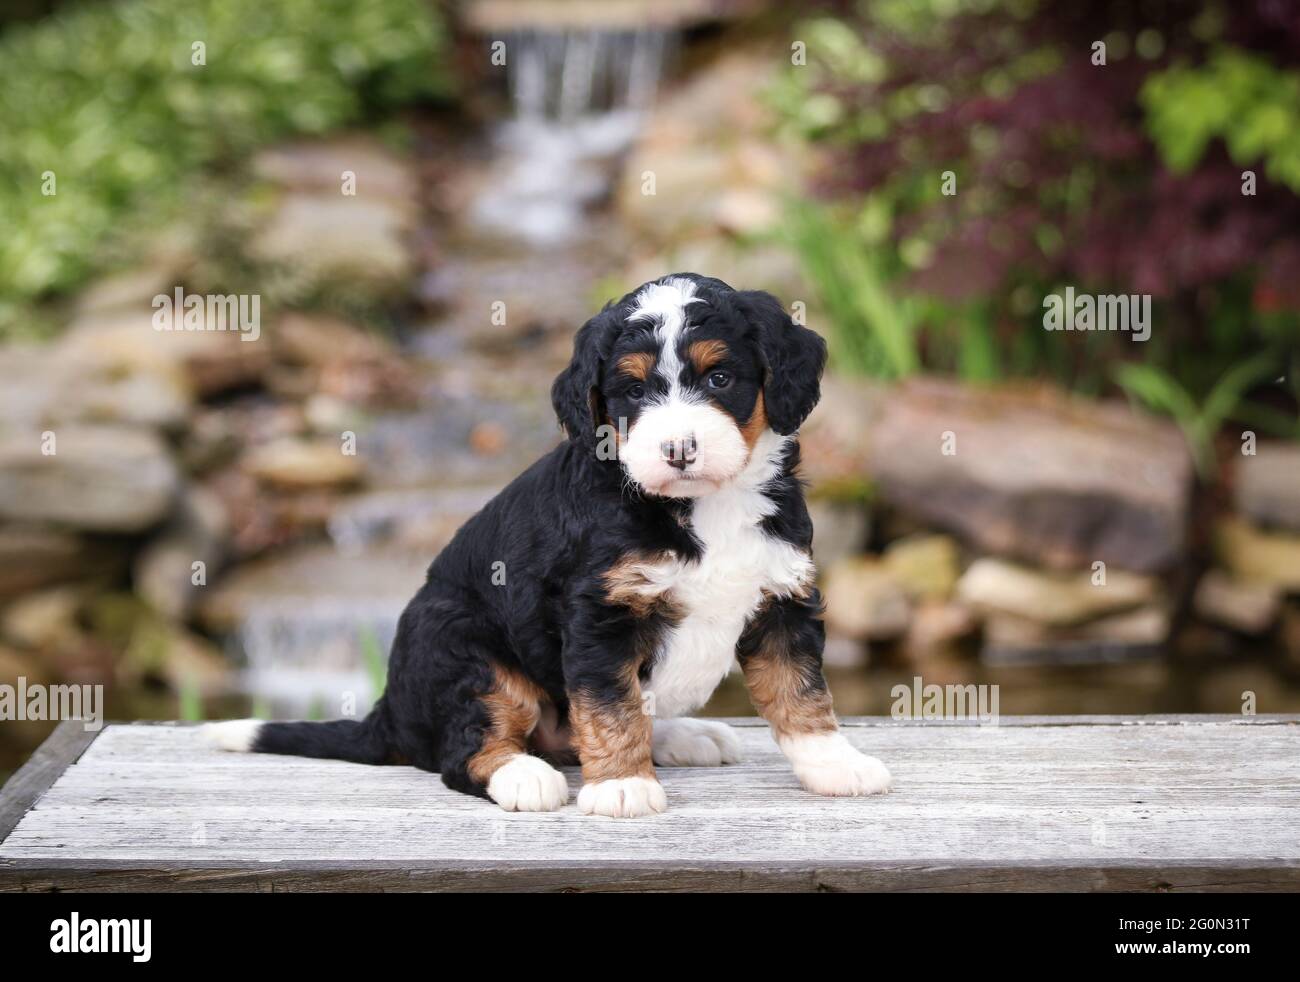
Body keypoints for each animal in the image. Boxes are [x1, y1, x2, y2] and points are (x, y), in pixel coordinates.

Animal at [205, 274, 894, 816]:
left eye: (720, 377)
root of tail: (390, 711)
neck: (704, 505)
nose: (678, 449)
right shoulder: (598, 613)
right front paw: (621, 786)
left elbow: (801, 691)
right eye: (634, 392)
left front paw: (835, 765)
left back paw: (680, 737)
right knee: (467, 750)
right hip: (463, 647)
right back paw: (525, 776)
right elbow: (609, 704)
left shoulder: (783, 597)